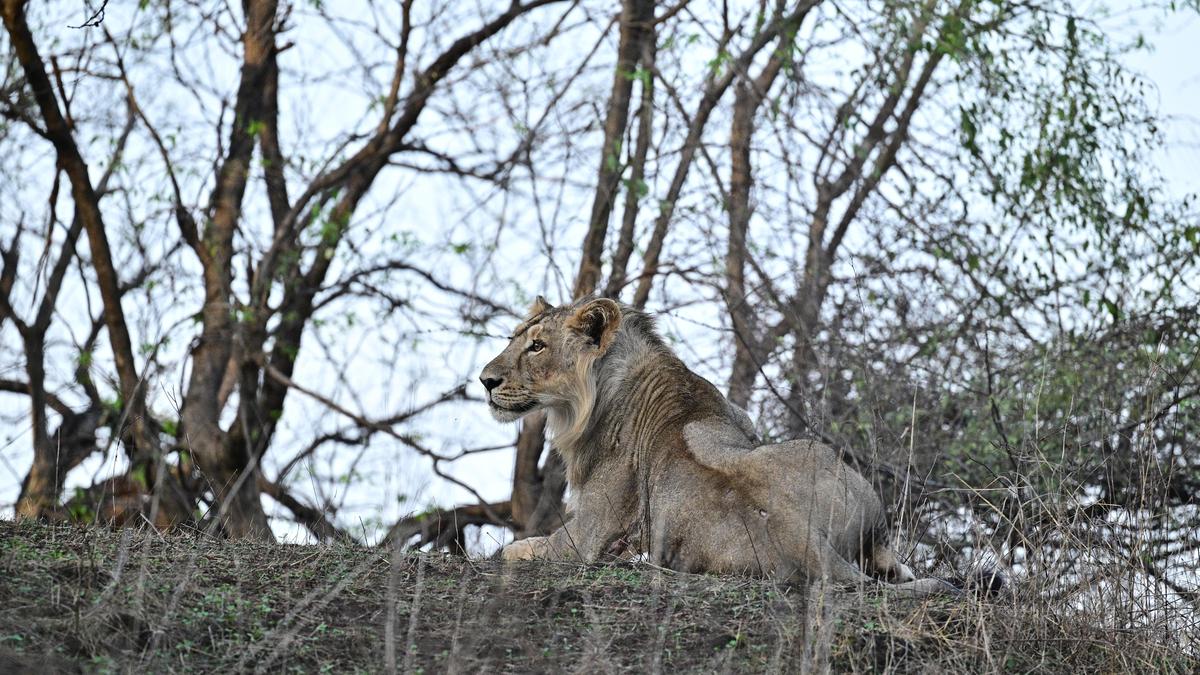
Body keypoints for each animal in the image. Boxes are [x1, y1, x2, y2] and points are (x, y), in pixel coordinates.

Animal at [480, 295, 962, 595]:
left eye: (537, 346)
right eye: (513, 339)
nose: (485, 380)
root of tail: (807, 541)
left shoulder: (590, 535)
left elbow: (518, 549)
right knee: (888, 563)